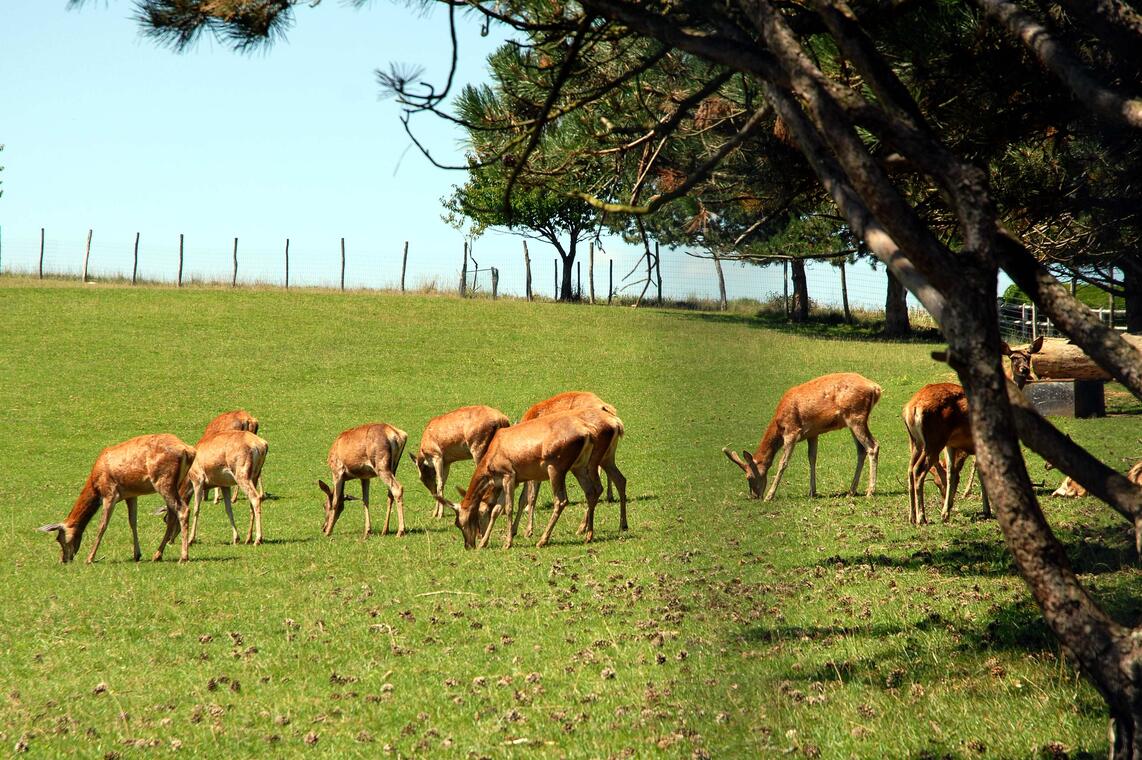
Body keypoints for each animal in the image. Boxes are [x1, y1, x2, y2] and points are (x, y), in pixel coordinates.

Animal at [39, 432, 195, 562]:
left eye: (59, 538)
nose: (63, 560)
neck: (95, 484)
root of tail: (188, 450)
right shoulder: (131, 495)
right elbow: (133, 522)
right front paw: (137, 554)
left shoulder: (109, 492)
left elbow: (102, 525)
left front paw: (89, 558)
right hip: (176, 483)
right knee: (171, 515)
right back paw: (157, 555)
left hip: (163, 481)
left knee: (183, 509)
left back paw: (183, 557)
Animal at [452, 406, 625, 548]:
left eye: (461, 522)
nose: (469, 545)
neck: (492, 455)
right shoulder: (504, 481)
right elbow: (496, 509)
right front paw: (485, 543)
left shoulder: (509, 475)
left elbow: (510, 507)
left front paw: (508, 542)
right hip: (582, 465)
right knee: (597, 489)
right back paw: (591, 534)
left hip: (556, 468)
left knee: (561, 500)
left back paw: (543, 540)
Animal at [516, 390, 625, 532]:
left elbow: (529, 495)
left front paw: (528, 528)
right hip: (607, 457)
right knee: (618, 479)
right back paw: (620, 521)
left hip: (592, 461)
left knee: (596, 486)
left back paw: (583, 527)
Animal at [721, 372, 881, 500]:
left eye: (748, 476)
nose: (754, 496)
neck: (779, 424)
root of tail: (876, 388)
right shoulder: (813, 433)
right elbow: (812, 458)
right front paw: (812, 492)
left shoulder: (792, 431)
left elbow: (783, 463)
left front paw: (769, 496)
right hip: (853, 421)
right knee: (861, 450)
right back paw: (851, 491)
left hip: (856, 416)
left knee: (873, 446)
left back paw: (870, 492)